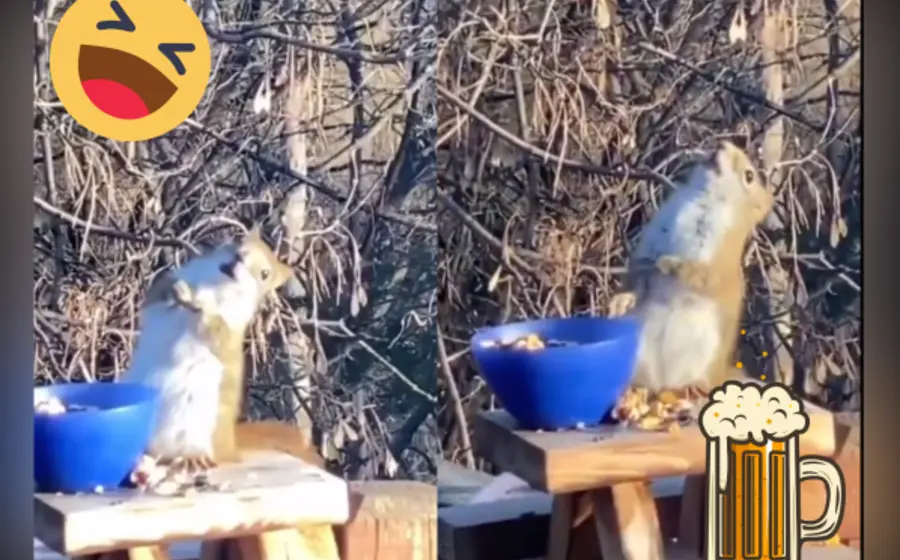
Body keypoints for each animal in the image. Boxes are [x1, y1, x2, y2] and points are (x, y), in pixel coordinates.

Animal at [123, 227, 323, 471]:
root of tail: (230, 448)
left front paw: (201, 306)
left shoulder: (232, 326)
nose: (236, 262)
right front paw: (176, 291)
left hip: (197, 426)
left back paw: (193, 458)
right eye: (237, 245)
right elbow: (156, 299)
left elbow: (217, 332)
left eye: (264, 274)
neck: (215, 286)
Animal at [611, 141, 774, 397]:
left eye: (749, 176)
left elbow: (700, 275)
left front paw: (666, 263)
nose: (721, 145)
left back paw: (693, 388)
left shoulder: (720, 257)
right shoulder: (651, 238)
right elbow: (638, 271)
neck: (702, 197)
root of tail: (663, 382)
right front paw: (621, 299)